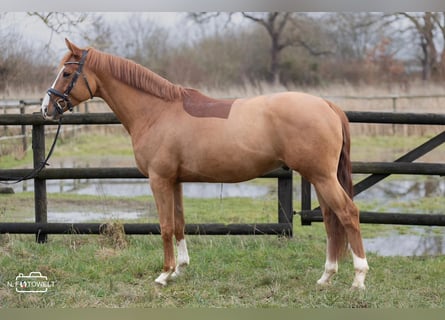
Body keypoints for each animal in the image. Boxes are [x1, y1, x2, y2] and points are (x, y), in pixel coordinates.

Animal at [41, 39, 368, 288]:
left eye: (67, 73)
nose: (46, 108)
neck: (157, 111)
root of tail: (326, 104)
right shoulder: (175, 181)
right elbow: (179, 223)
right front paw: (180, 269)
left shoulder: (159, 180)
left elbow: (165, 226)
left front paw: (164, 274)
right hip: (319, 177)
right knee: (331, 219)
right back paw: (326, 277)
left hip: (322, 176)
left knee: (348, 213)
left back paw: (358, 278)